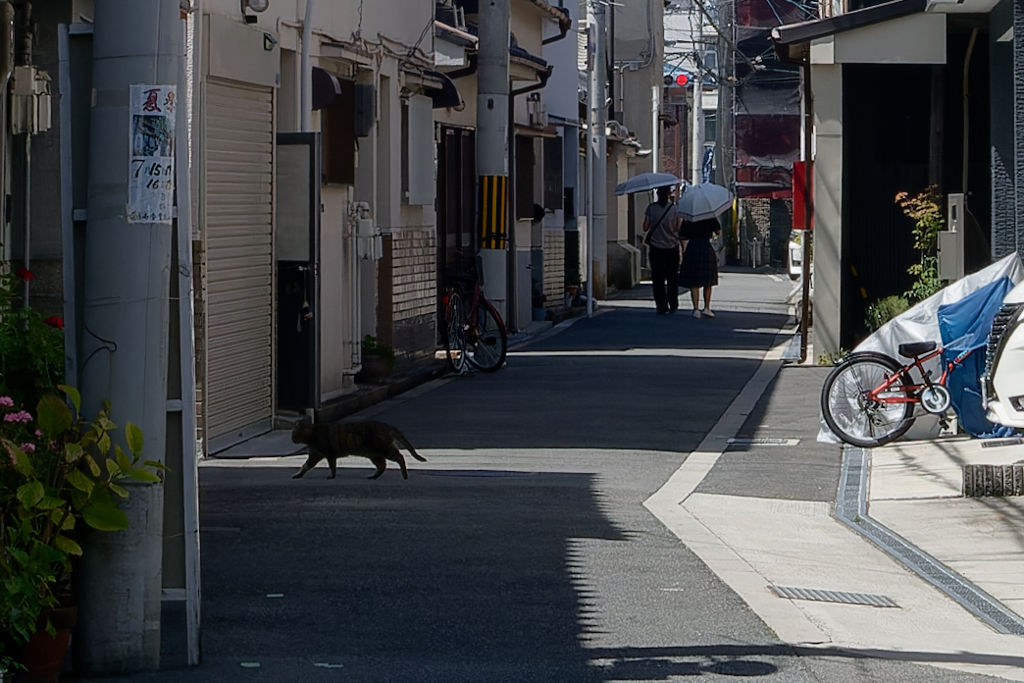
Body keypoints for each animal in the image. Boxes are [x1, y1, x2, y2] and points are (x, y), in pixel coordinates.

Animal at [290, 417, 425, 481]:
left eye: (293, 434)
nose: (291, 439)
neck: (312, 435)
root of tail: (387, 426)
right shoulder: (315, 455)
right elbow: (305, 466)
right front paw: (298, 475)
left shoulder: (328, 454)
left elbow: (332, 467)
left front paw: (331, 476)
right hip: (374, 454)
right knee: (382, 466)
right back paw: (374, 476)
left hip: (384, 448)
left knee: (400, 457)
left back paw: (404, 475)